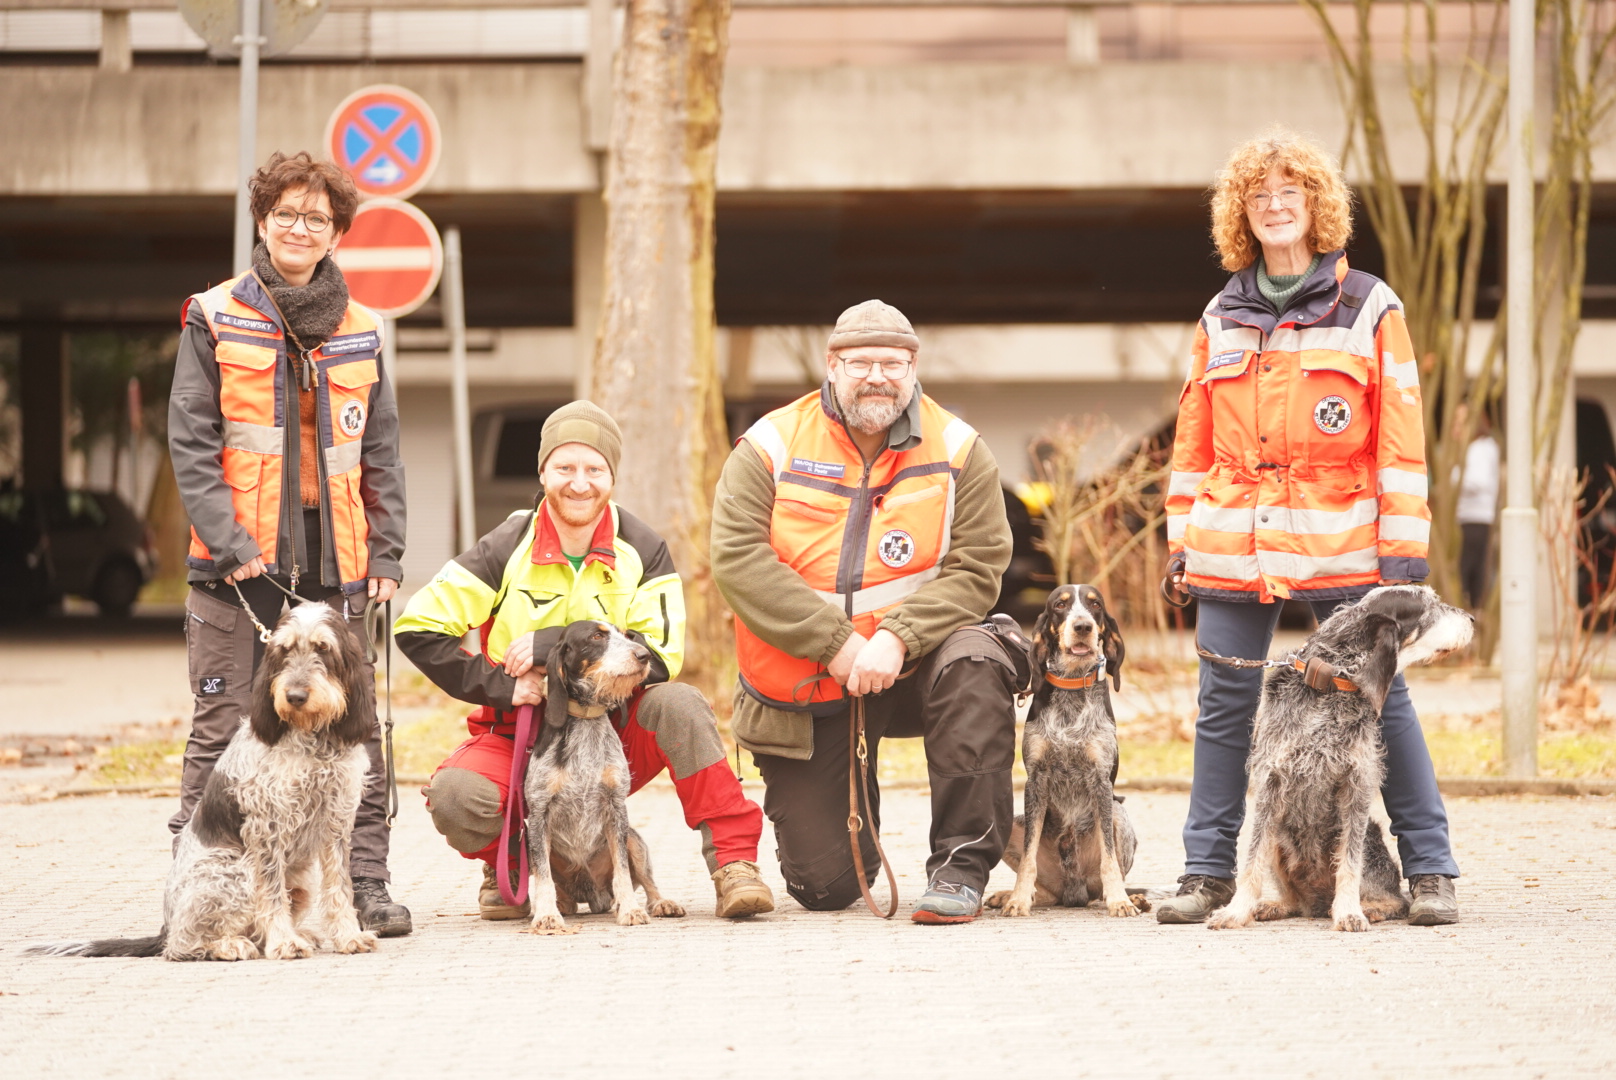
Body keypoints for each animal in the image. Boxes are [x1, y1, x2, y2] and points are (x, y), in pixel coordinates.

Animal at [27, 604, 374, 963]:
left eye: (323, 648)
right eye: (284, 650)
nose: (294, 696)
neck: (312, 740)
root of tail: (165, 926)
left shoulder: (336, 822)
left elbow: (340, 886)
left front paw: (348, 935)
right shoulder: (267, 828)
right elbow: (273, 894)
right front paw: (284, 942)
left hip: (299, 882)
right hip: (235, 871)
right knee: (180, 946)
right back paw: (230, 945)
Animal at [523, 620, 688, 931]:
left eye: (626, 635)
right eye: (597, 636)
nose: (644, 655)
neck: (587, 718)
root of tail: (593, 897)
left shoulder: (616, 808)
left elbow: (621, 870)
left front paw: (631, 910)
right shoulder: (538, 814)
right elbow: (542, 877)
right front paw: (546, 914)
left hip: (634, 839)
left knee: (647, 882)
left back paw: (659, 903)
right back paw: (559, 906)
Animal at [982, 582, 1150, 918]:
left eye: (1095, 604)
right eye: (1060, 605)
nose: (1083, 626)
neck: (1072, 684)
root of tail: (1074, 892)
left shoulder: (1100, 781)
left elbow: (1110, 861)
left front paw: (1120, 901)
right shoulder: (1036, 780)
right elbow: (1028, 858)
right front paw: (1018, 899)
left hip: (1118, 814)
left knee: (1103, 884)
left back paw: (1130, 897)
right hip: (1012, 824)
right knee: (1047, 892)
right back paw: (1009, 896)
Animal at [1208, 585, 1473, 931]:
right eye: (1430, 605)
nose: (1472, 619)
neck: (1331, 683)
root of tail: (1317, 904)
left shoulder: (1356, 785)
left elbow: (1349, 863)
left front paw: (1349, 912)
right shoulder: (1271, 782)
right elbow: (1253, 858)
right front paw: (1236, 911)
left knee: (1396, 900)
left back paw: (1369, 907)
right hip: (1281, 839)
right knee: (1293, 897)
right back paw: (1273, 905)